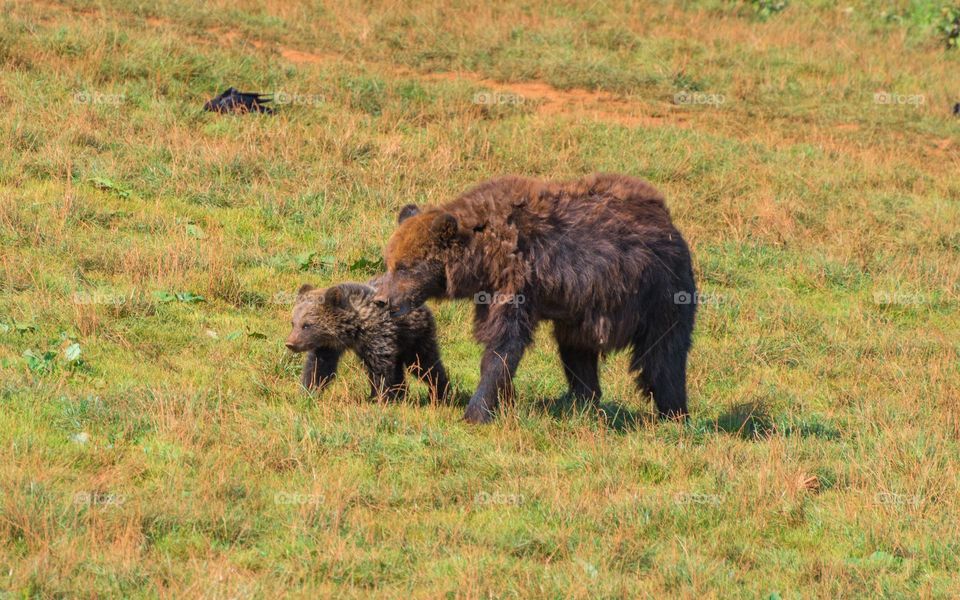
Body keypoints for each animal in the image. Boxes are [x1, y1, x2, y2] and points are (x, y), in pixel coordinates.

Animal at [285, 281, 450, 402]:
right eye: (293, 323)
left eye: (307, 325)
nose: (290, 343)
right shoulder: (328, 346)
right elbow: (319, 368)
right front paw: (308, 392)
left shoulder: (377, 337)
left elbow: (380, 370)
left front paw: (379, 397)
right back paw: (402, 394)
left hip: (414, 337)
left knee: (424, 364)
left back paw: (439, 393)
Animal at [372, 173, 697, 424]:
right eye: (390, 262)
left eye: (406, 267)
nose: (381, 300)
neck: (485, 257)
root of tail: (668, 220)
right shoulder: (494, 291)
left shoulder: (519, 279)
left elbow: (504, 343)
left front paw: (476, 411)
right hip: (583, 311)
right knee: (577, 352)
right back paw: (579, 402)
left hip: (658, 292)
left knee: (664, 354)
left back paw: (674, 414)